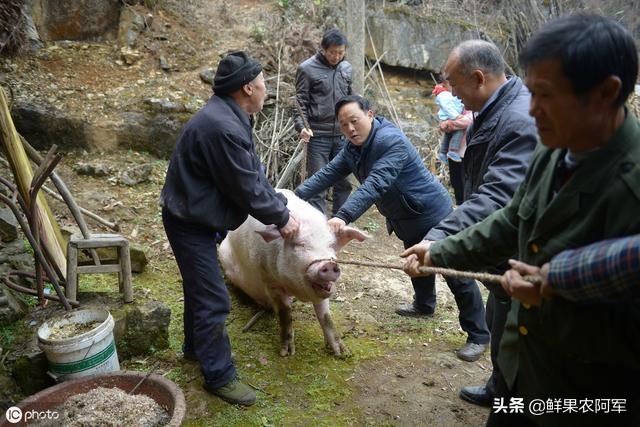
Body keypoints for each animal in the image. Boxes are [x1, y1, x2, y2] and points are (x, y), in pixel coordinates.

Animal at [218, 190, 364, 358]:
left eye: (331, 245)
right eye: (300, 245)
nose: (329, 264)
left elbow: (326, 317)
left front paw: (343, 353)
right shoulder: (269, 281)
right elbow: (285, 312)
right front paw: (286, 353)